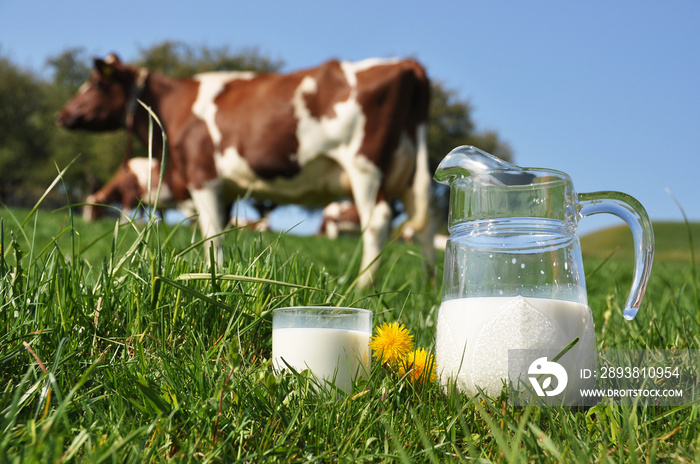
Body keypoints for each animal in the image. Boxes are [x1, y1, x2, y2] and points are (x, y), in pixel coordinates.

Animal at [57, 53, 434, 286]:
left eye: (95, 83)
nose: (62, 114)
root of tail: (408, 64)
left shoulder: (203, 176)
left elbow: (211, 234)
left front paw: (214, 277)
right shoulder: (223, 190)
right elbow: (216, 234)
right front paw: (216, 275)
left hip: (364, 168)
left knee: (379, 221)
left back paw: (361, 285)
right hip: (410, 174)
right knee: (425, 227)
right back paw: (430, 284)